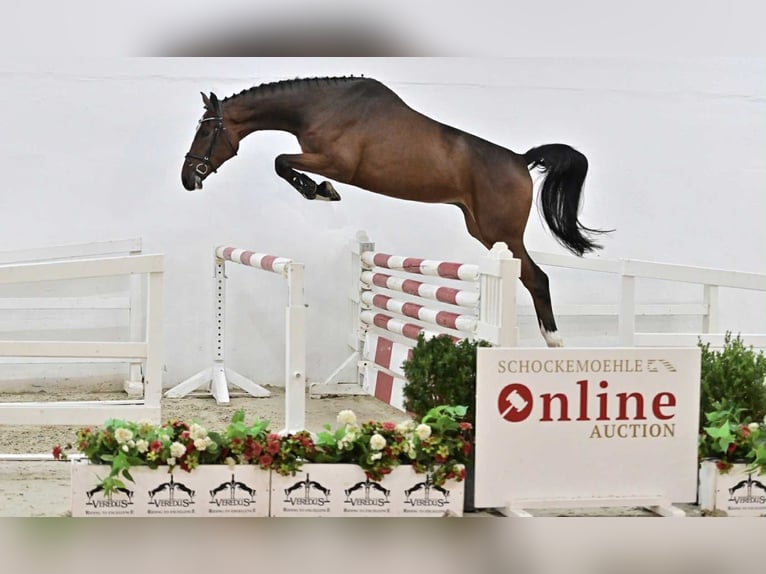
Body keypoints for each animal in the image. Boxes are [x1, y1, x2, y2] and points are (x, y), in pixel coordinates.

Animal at [181, 76, 611, 347]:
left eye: (206, 130)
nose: (188, 179)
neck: (320, 107)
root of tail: (521, 160)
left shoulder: (336, 163)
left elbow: (281, 162)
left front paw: (320, 192)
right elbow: (282, 162)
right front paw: (319, 191)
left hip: (503, 234)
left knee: (537, 279)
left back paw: (554, 342)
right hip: (483, 230)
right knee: (531, 277)